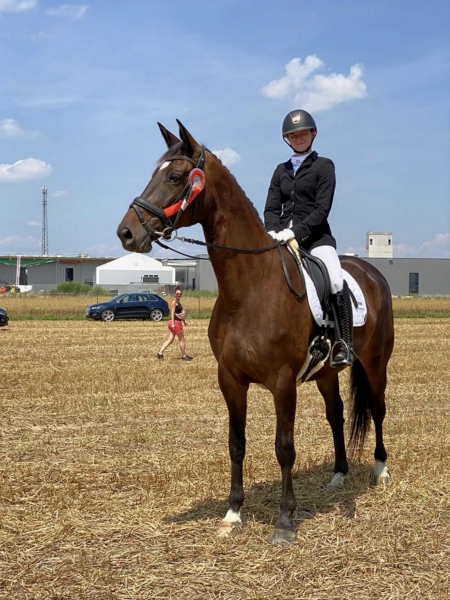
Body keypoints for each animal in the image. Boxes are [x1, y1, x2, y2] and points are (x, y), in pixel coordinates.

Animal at [116, 119, 394, 548]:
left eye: (176, 177)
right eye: (153, 173)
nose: (127, 233)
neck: (248, 289)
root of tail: (372, 272)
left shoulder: (283, 382)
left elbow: (284, 448)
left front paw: (285, 520)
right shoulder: (230, 379)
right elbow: (236, 443)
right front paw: (232, 513)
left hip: (377, 364)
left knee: (378, 408)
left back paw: (380, 471)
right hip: (327, 373)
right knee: (335, 414)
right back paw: (338, 474)